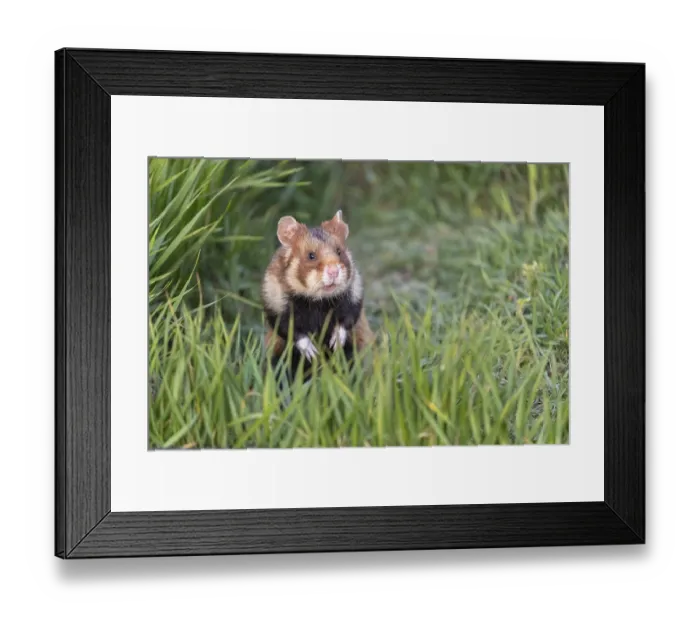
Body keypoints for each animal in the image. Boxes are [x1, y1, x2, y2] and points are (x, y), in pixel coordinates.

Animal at [261, 210, 373, 374]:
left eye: (339, 251)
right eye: (311, 255)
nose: (333, 271)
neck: (318, 301)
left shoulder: (353, 297)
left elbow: (347, 320)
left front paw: (334, 342)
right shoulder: (276, 306)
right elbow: (291, 330)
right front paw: (312, 352)